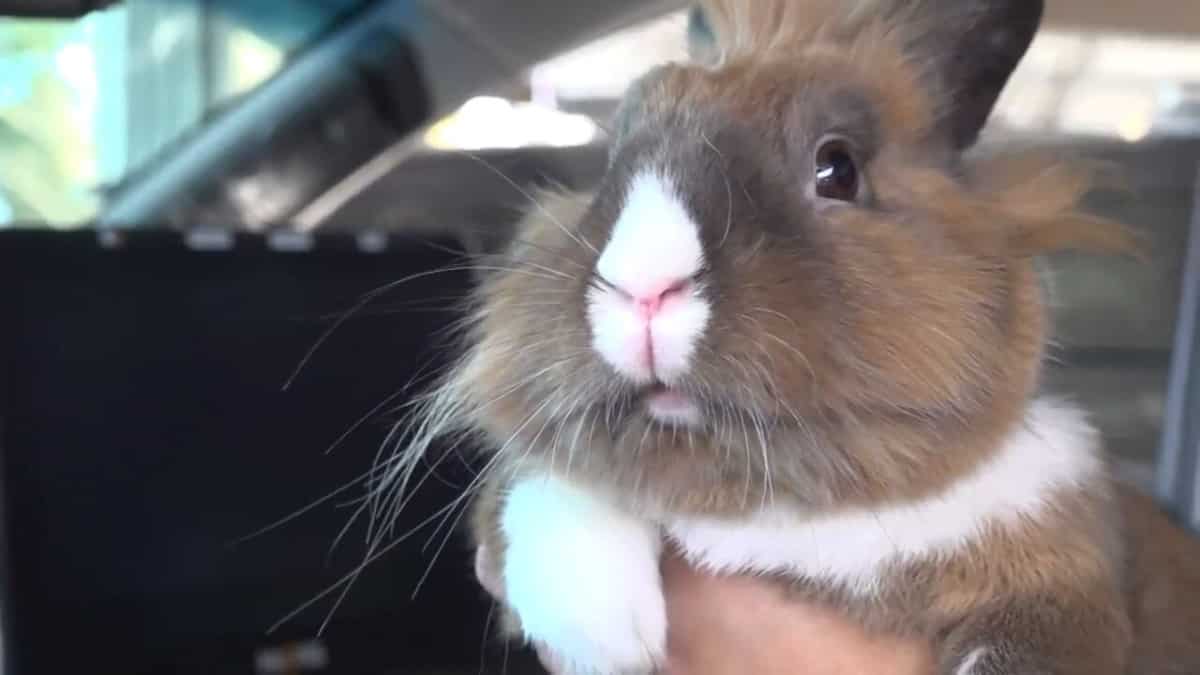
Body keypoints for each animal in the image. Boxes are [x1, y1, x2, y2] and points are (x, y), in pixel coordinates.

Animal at [382, 0, 1200, 673]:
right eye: (611, 160)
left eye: (837, 167)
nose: (643, 287)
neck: (785, 516)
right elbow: (543, 482)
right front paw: (603, 632)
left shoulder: (1059, 594)